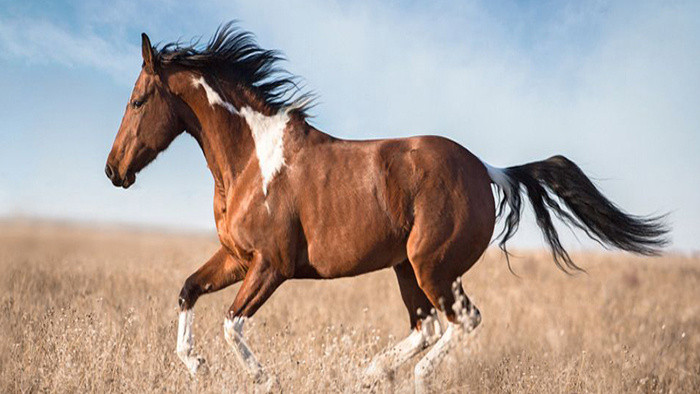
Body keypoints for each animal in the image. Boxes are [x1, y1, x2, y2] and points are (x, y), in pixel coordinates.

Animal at [104, 23, 668, 392]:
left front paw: (264, 378)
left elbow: (231, 322)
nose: (113, 170)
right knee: (427, 326)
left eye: (137, 101)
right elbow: (187, 291)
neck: (250, 160)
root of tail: (488, 169)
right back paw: (371, 372)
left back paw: (410, 376)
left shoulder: (272, 265)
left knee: (462, 321)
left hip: (432, 266)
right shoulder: (237, 258)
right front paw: (195, 364)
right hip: (406, 268)